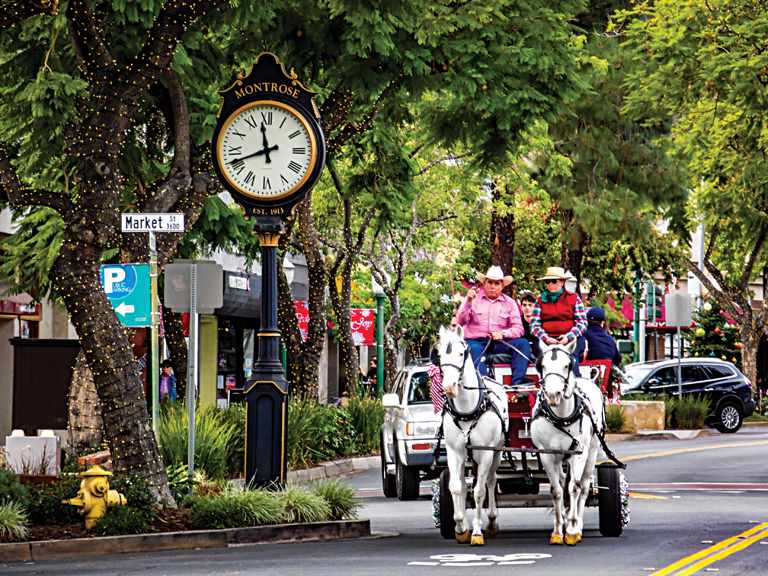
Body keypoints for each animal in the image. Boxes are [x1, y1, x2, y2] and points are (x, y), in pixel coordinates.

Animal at [433, 325, 509, 546]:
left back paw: (491, 521)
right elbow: (456, 487)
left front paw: (476, 531)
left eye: (461, 353)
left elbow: (479, 491)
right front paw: (460, 527)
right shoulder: (454, 452)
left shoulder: (485, 453)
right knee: (463, 482)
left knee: (491, 481)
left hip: (496, 453)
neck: (468, 409)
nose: (449, 387)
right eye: (440, 354)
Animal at [530, 339, 605, 546]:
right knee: (564, 481)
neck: (561, 417)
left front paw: (572, 530)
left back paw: (577, 524)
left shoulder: (578, 454)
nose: (553, 394)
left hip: (591, 452)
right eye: (542, 365)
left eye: (566, 365)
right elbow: (556, 491)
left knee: (584, 487)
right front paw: (557, 530)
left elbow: (575, 488)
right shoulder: (547, 455)